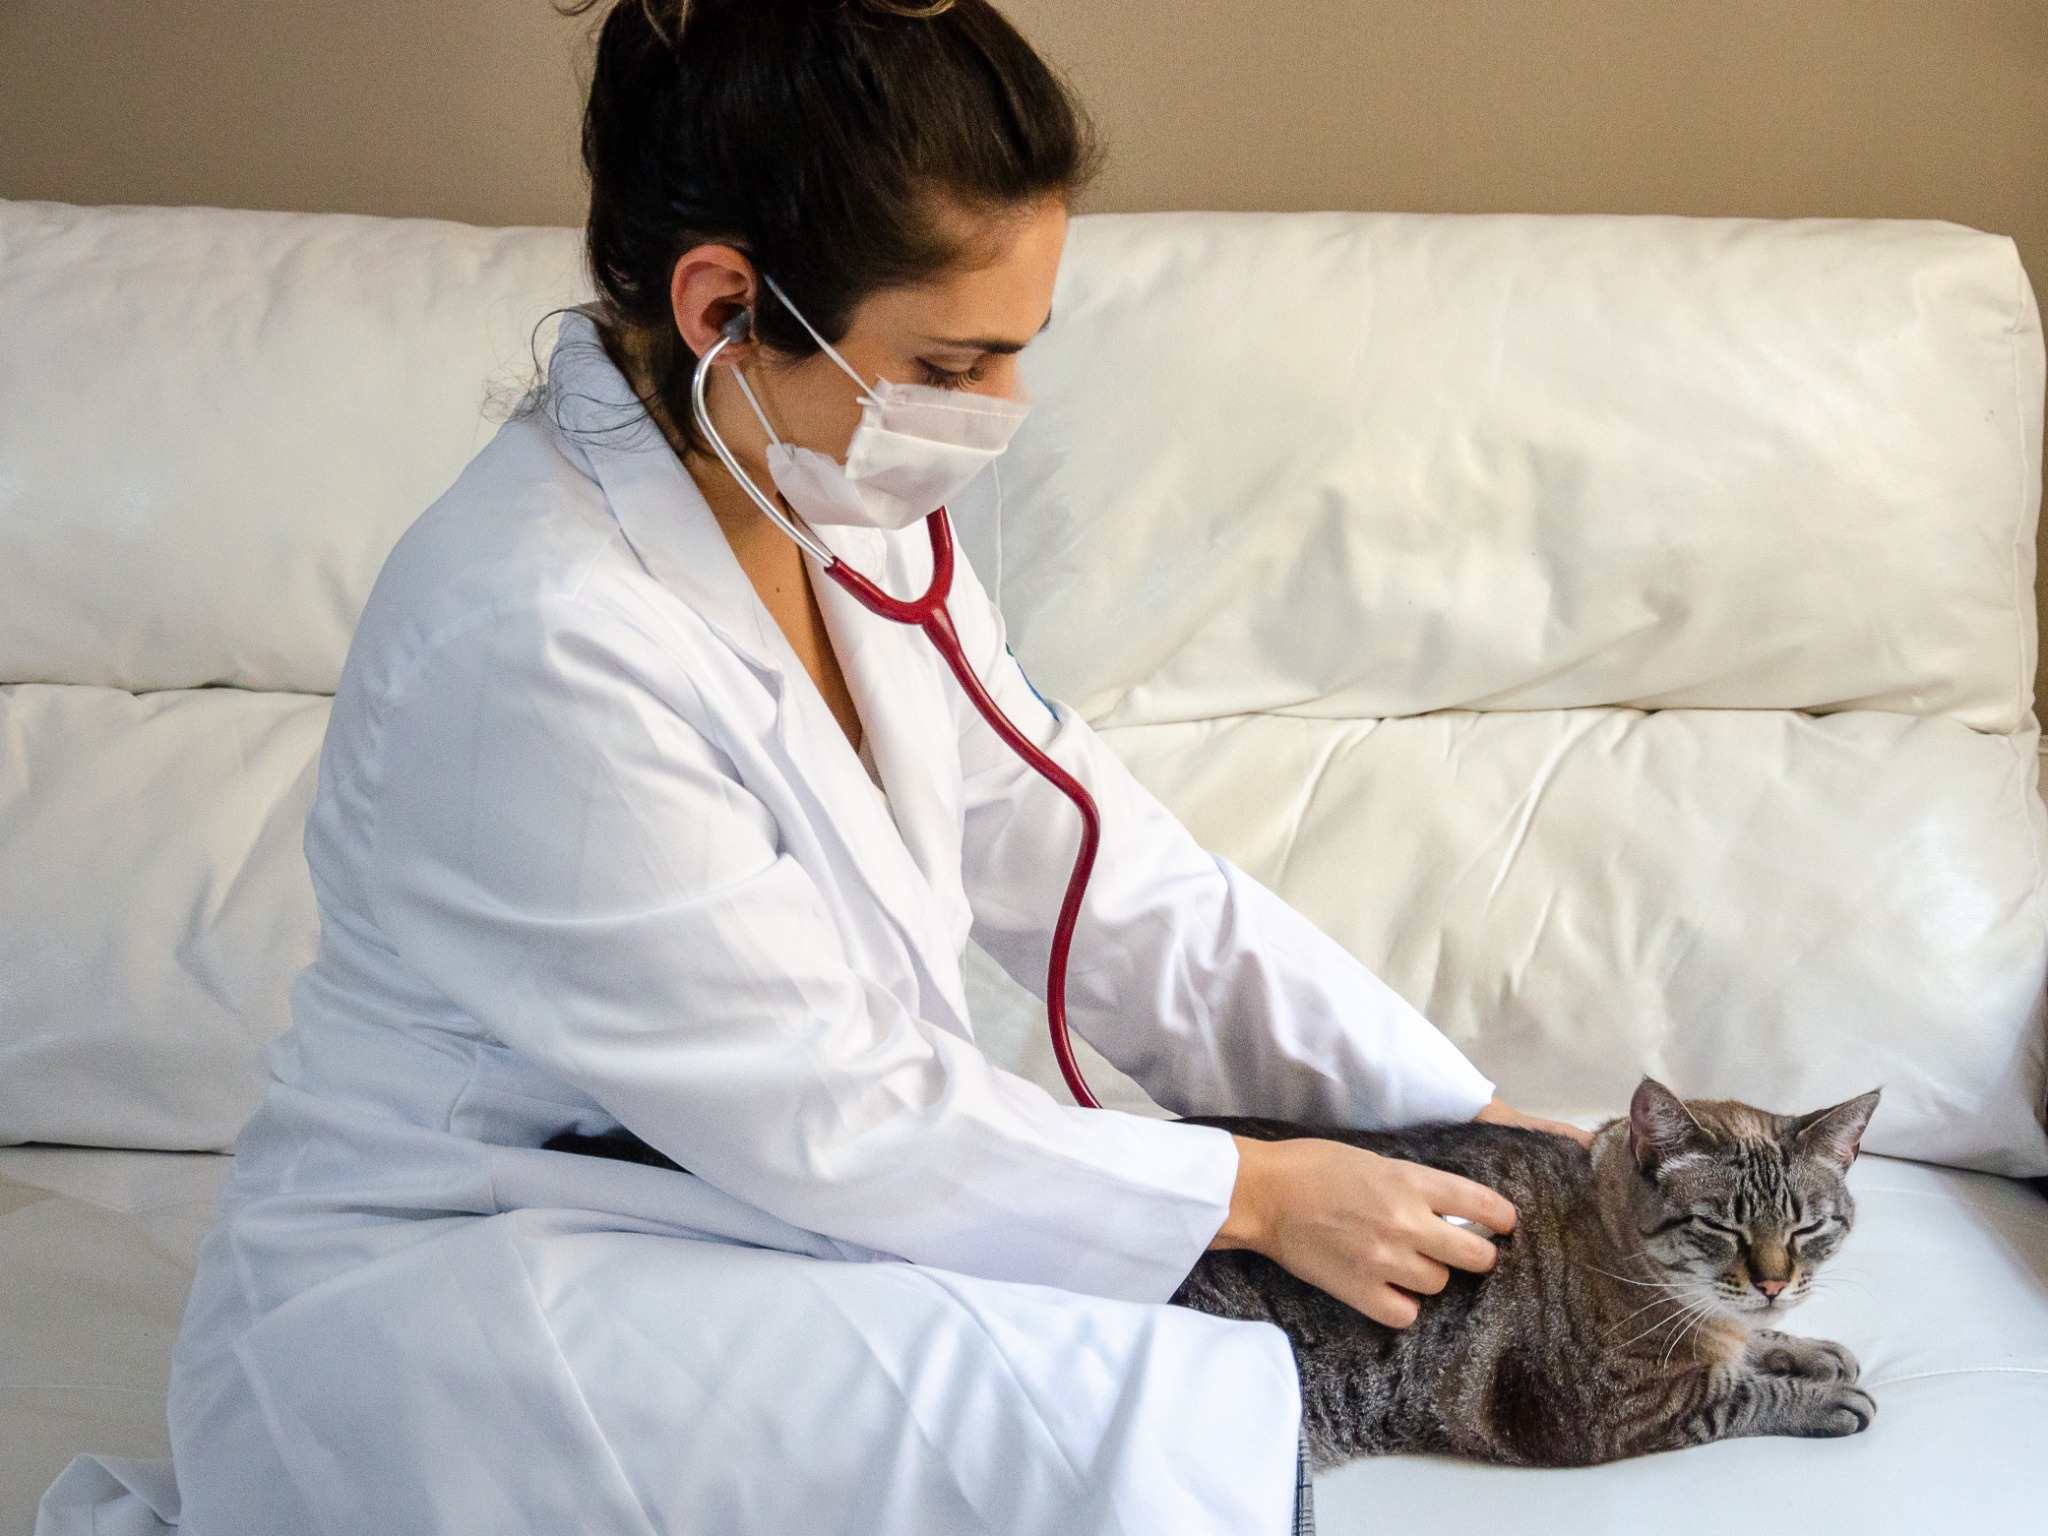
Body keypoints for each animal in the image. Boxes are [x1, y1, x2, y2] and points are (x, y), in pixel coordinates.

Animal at [1179, 1073, 1875, 1474]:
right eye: (1721, 1227)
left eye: (1807, 1229)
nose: (1773, 1283)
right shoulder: (1604, 1409)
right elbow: (1737, 1395)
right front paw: (1819, 1396)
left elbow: (1755, 1341)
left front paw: (1808, 1349)